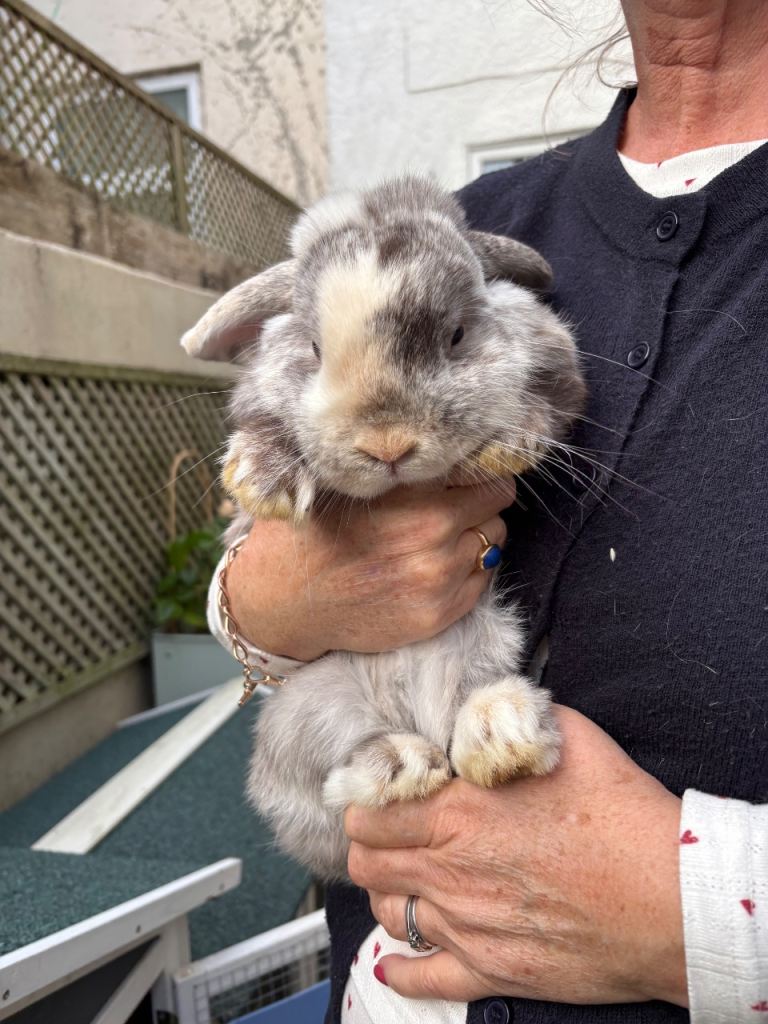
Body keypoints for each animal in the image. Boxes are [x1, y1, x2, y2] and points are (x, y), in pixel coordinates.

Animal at [181, 176, 586, 881]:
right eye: (314, 350)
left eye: (457, 334)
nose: (387, 442)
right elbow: (264, 427)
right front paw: (262, 478)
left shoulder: (556, 362)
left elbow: (547, 404)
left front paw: (501, 448)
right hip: (307, 711)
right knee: (340, 780)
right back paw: (400, 767)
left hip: (486, 641)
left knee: (469, 713)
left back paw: (501, 737)